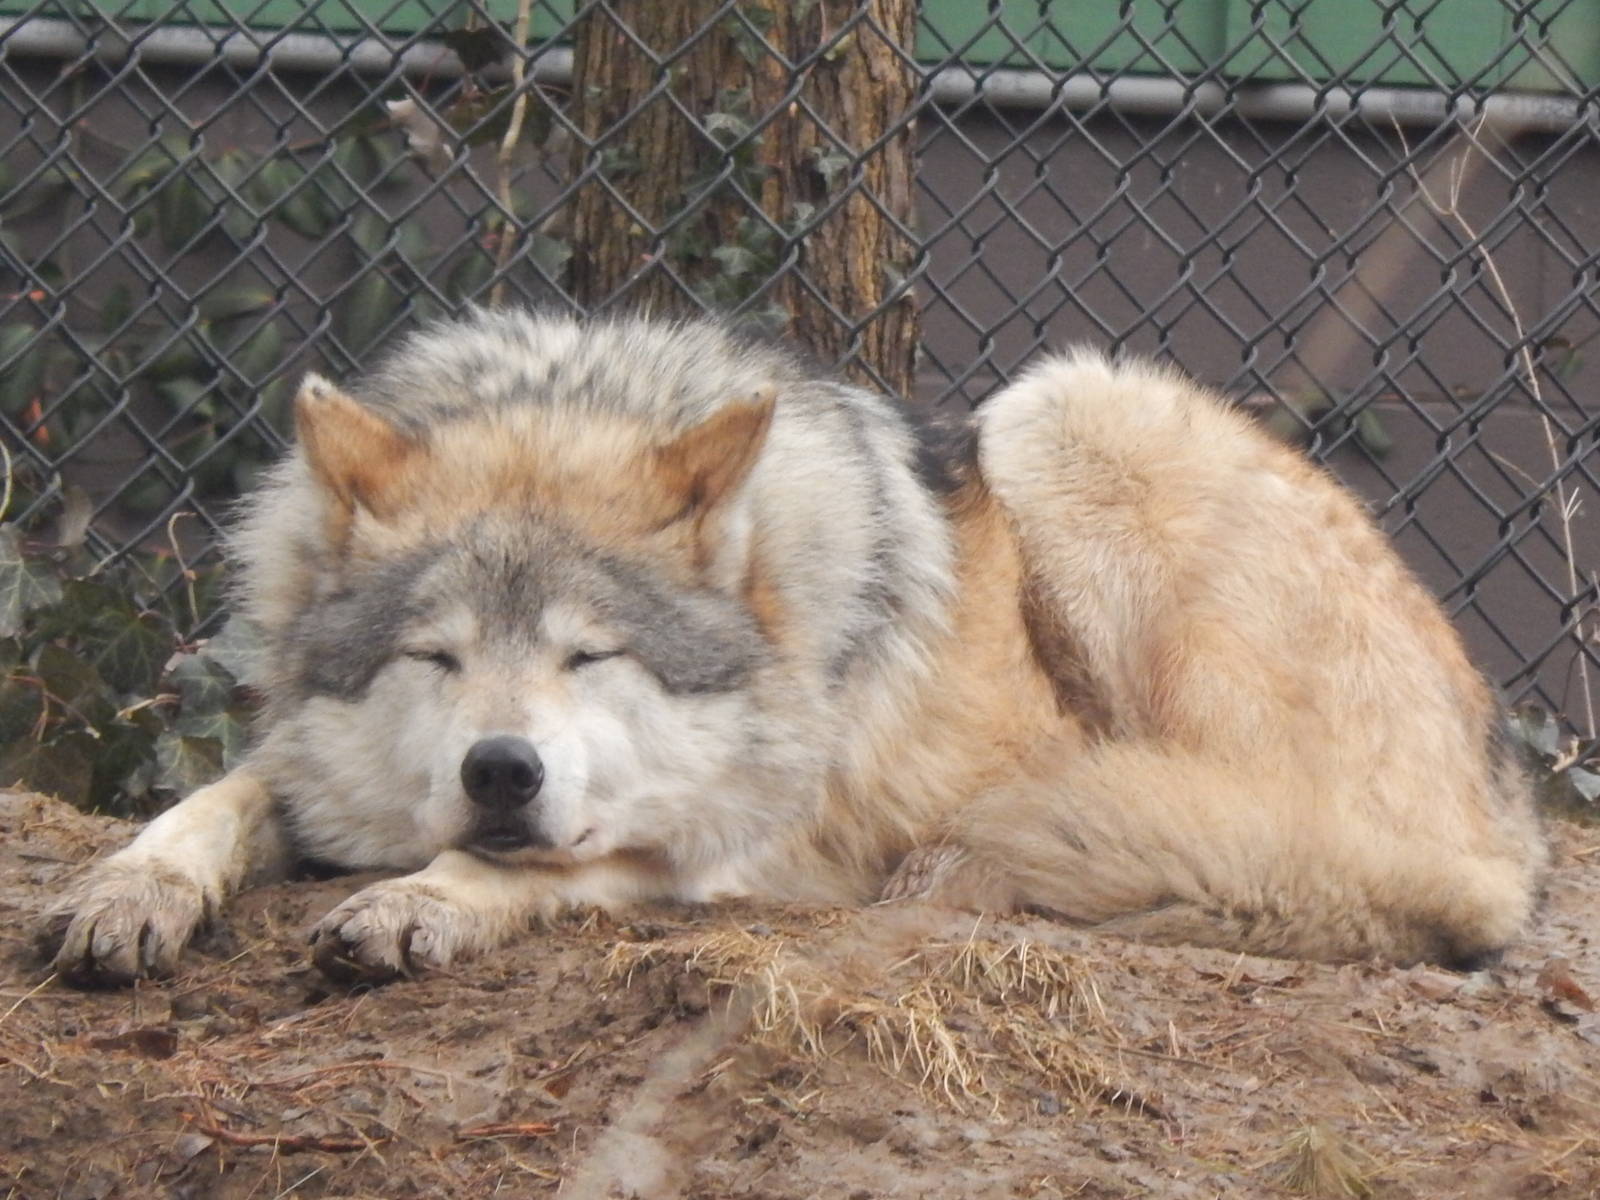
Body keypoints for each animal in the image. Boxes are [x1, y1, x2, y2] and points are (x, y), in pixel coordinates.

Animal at [40, 310, 1546, 985]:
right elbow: (218, 797)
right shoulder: (308, 755)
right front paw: (130, 888)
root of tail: (1509, 813)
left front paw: (434, 897)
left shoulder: (768, 828)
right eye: (435, 659)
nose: (501, 771)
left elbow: (569, 860)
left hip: (1071, 410)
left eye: (594, 658)